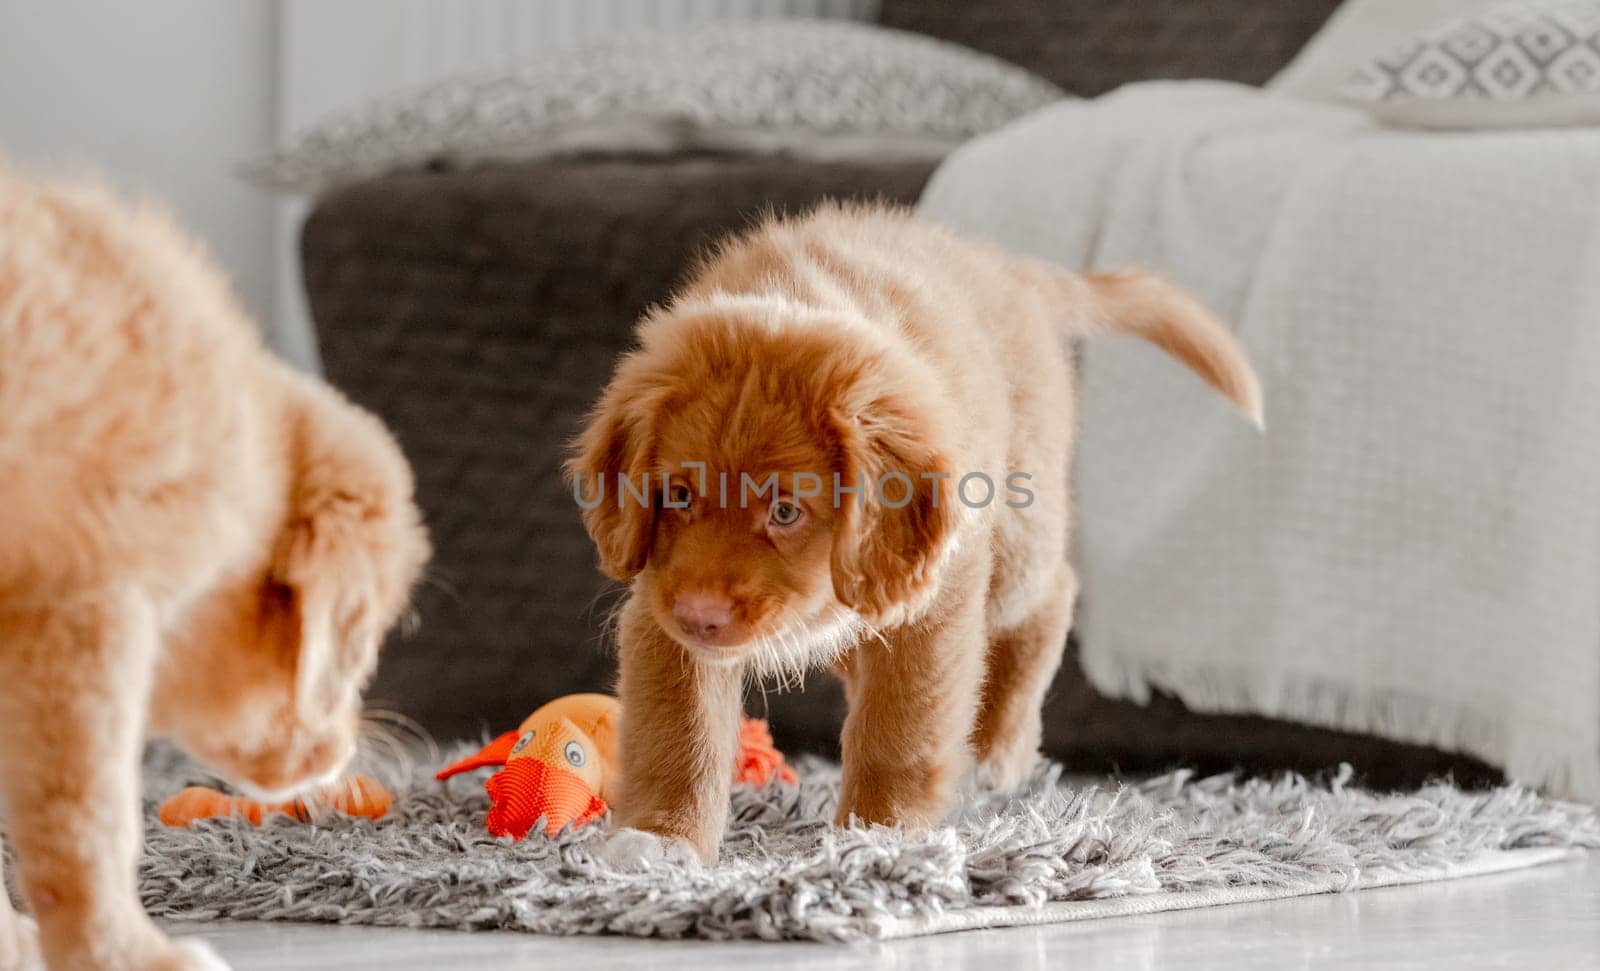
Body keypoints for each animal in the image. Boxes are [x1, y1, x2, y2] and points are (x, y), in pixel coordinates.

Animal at [569, 206, 1254, 863]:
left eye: (786, 513)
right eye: (679, 497)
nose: (700, 616)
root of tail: (1013, 272)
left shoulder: (932, 605)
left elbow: (898, 728)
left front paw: (879, 836)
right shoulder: (661, 609)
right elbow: (679, 735)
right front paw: (663, 838)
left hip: (1014, 545)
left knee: (1052, 595)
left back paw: (998, 750)